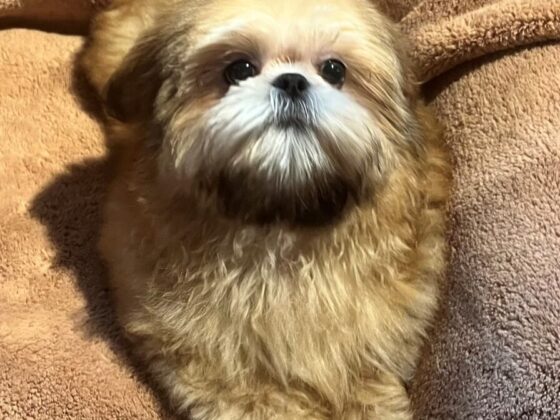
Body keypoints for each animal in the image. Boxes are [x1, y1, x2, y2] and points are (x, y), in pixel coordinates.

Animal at [82, 1, 450, 418]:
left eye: (334, 70)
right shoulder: (215, 365)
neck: (279, 223)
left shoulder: (373, 356)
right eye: (239, 69)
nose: (292, 81)